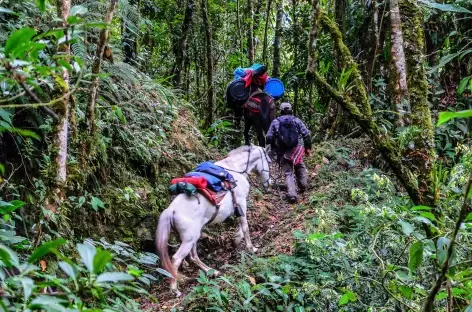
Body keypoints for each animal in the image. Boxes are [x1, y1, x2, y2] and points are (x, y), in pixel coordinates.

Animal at [157, 145, 272, 294]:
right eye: (269, 161)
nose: (270, 183)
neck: (235, 169)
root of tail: (171, 210)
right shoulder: (241, 202)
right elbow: (245, 225)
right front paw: (251, 248)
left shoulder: (238, 206)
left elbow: (240, 225)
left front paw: (236, 239)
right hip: (189, 240)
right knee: (176, 259)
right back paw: (174, 289)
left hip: (194, 236)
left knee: (193, 256)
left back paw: (212, 271)